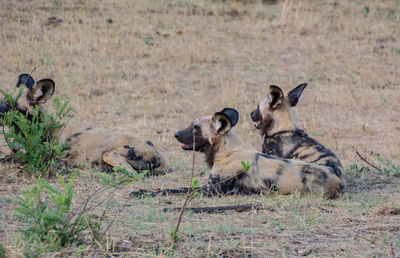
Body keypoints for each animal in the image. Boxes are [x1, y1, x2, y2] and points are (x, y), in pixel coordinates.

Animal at [132, 107, 344, 198]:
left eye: (195, 128)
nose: (175, 134)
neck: (225, 150)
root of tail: (338, 181)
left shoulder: (211, 191)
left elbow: (172, 190)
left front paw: (143, 192)